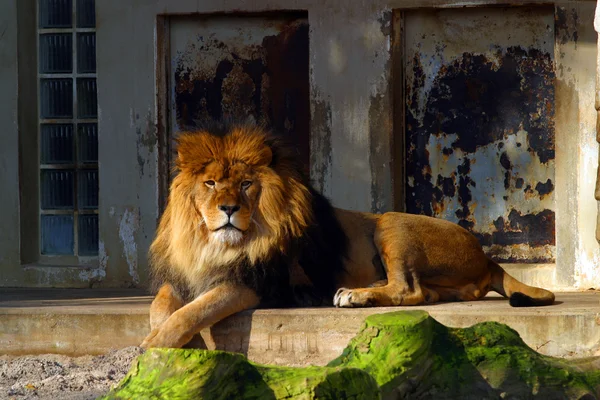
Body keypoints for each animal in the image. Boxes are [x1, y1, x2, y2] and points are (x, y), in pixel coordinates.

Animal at [139, 122, 552, 350]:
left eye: (245, 185)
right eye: (210, 183)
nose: (228, 209)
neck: (212, 246)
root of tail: (486, 255)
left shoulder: (256, 283)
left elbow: (196, 310)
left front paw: (153, 347)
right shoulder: (183, 275)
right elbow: (161, 306)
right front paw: (171, 337)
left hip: (390, 222)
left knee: (409, 290)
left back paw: (354, 296)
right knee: (425, 293)